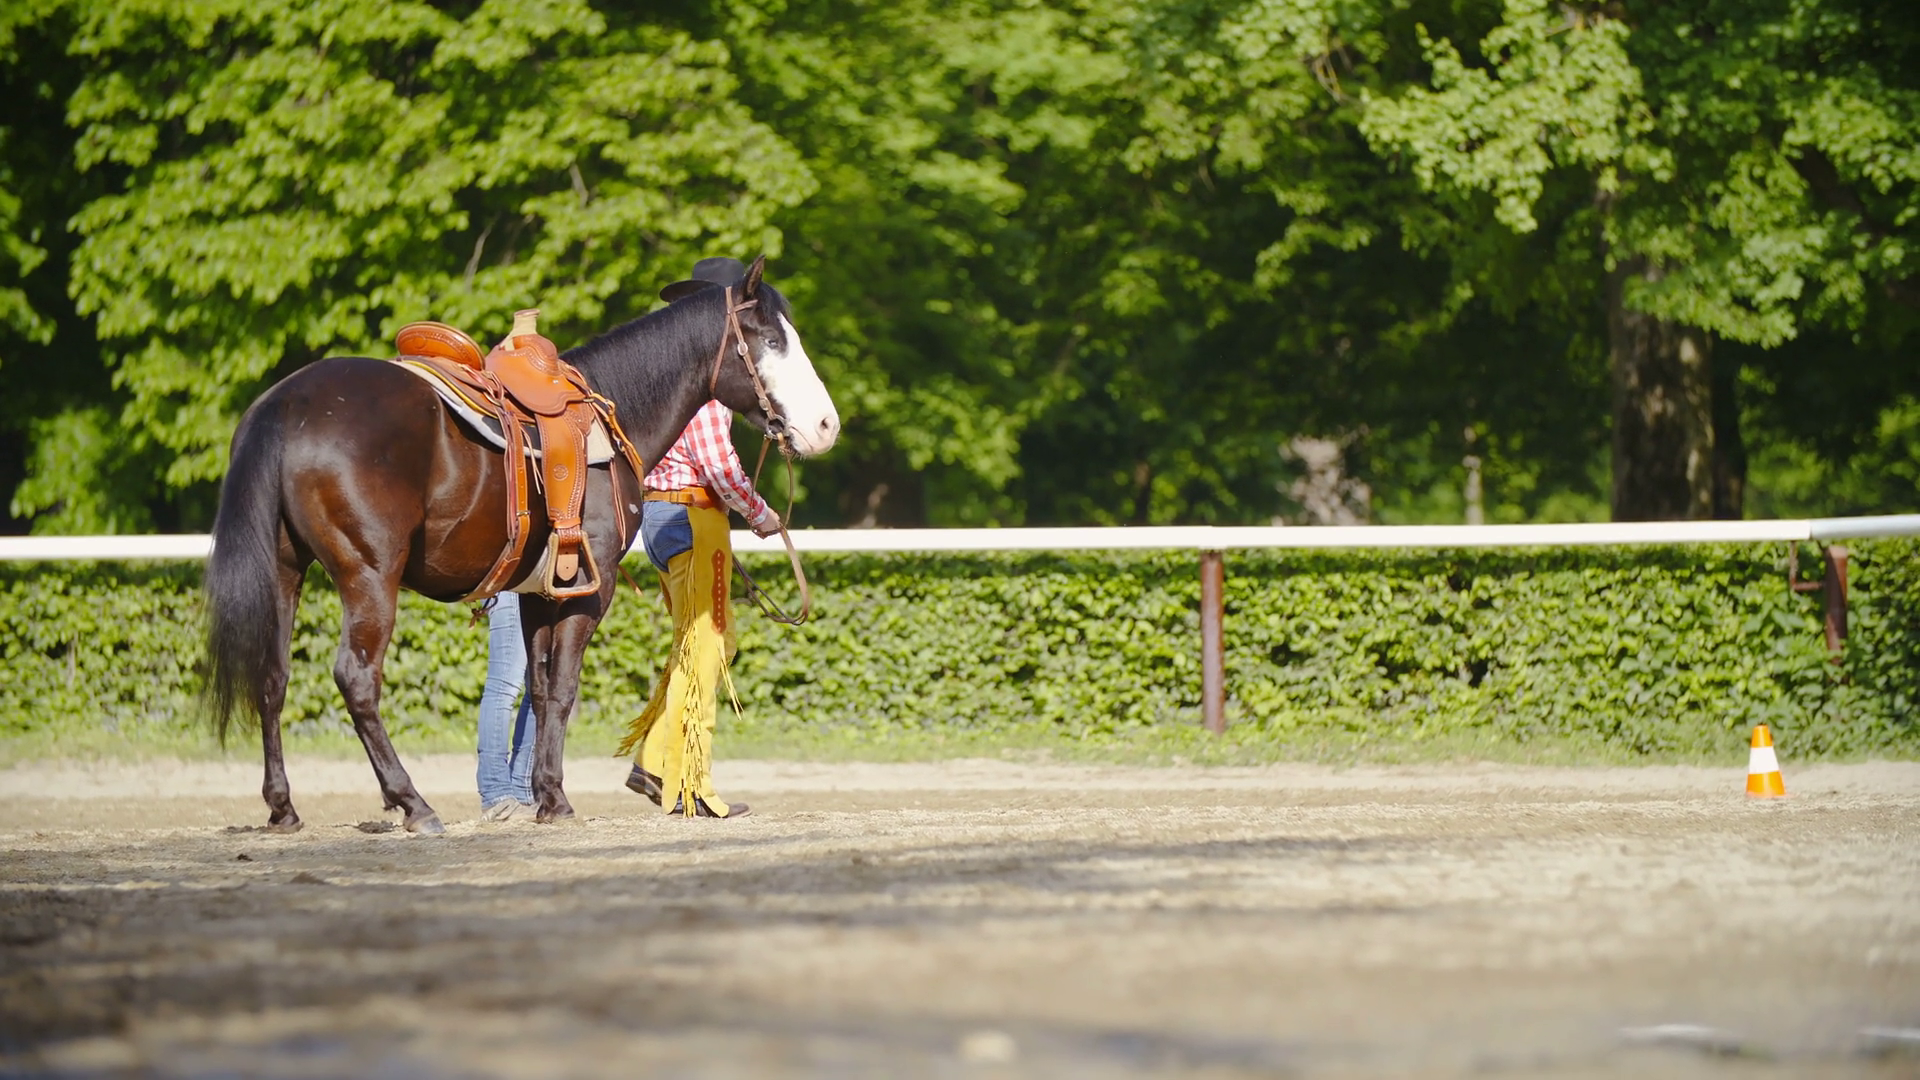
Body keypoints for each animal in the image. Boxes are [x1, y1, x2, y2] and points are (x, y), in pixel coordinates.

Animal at [204, 255, 838, 833]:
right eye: (773, 339)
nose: (827, 426)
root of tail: (285, 405)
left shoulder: (539, 592)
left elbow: (537, 685)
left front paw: (542, 794)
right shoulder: (591, 588)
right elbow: (562, 689)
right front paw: (556, 800)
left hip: (286, 571)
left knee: (271, 677)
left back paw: (283, 808)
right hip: (369, 577)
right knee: (357, 679)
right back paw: (413, 804)